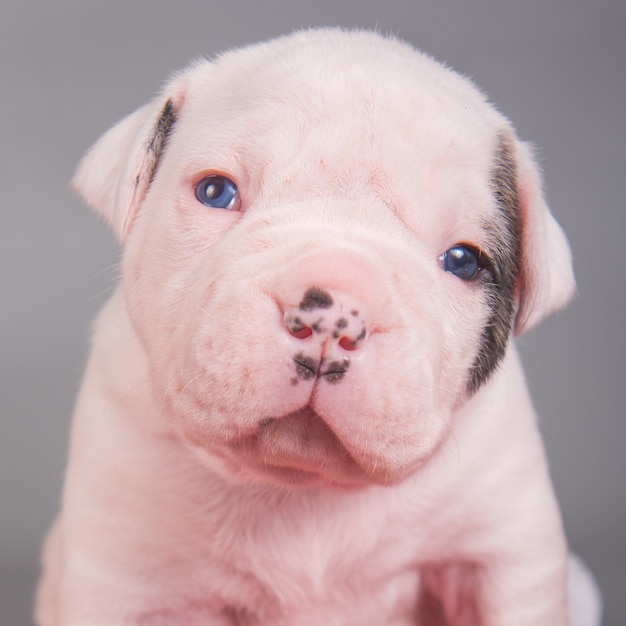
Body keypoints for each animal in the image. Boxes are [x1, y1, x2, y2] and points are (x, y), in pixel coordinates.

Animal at [36, 26, 604, 620]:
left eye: (464, 261)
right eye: (216, 191)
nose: (333, 317)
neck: (304, 484)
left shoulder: (506, 558)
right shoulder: (126, 572)